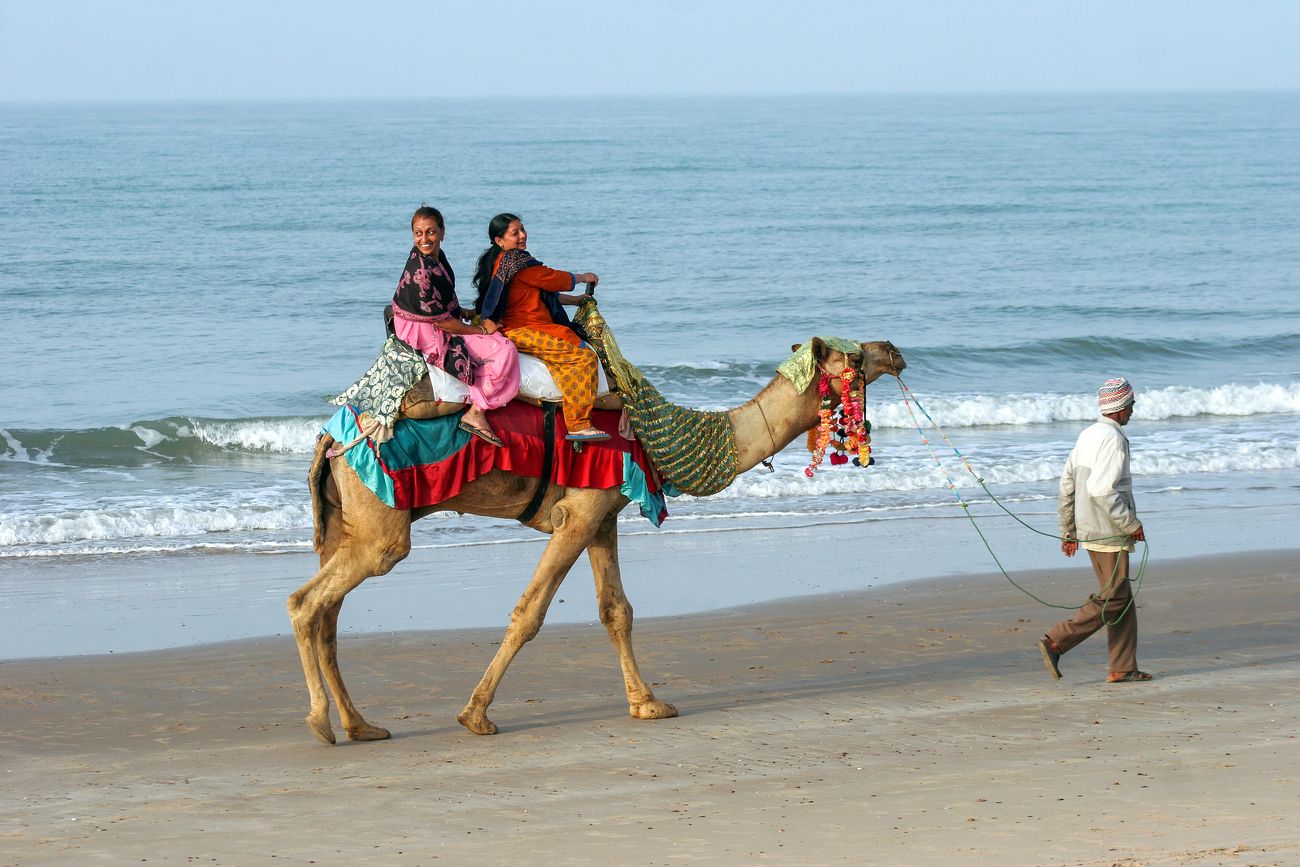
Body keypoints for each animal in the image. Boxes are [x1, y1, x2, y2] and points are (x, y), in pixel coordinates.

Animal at [291, 335, 909, 743]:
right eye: (853, 356)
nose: (892, 347)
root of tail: (330, 437)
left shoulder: (604, 515)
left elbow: (617, 610)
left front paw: (649, 704)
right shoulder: (578, 514)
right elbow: (530, 613)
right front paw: (475, 716)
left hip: (347, 523)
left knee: (327, 615)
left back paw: (361, 725)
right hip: (379, 524)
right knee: (308, 602)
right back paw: (322, 722)